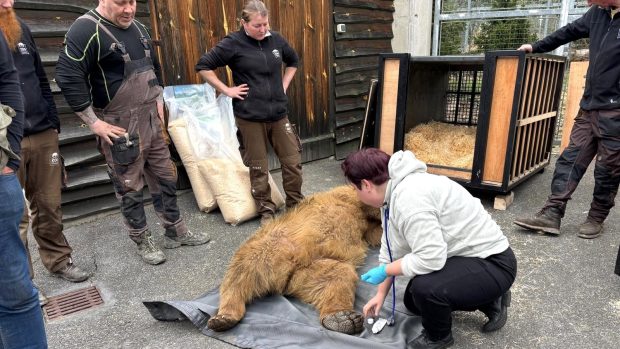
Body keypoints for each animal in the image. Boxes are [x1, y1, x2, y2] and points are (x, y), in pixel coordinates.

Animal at [208, 185, 382, 334]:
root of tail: (279, 281)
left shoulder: (365, 226)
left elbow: (375, 233)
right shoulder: (349, 197)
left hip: (304, 274)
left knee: (337, 276)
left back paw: (341, 318)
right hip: (264, 247)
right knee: (239, 274)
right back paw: (223, 317)